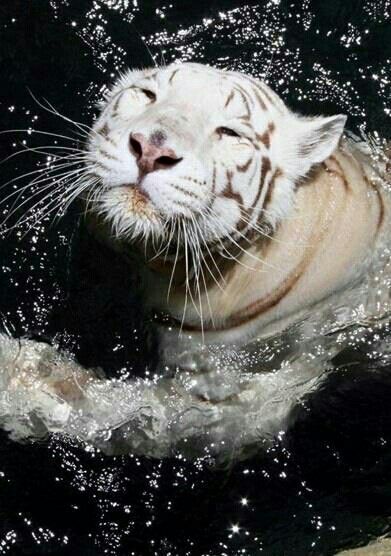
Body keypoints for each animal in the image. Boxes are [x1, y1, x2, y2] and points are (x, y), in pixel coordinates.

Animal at [0, 63, 390, 458]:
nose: (151, 149)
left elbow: (120, 412)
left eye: (229, 132)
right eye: (147, 95)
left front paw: (17, 377)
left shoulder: (242, 403)